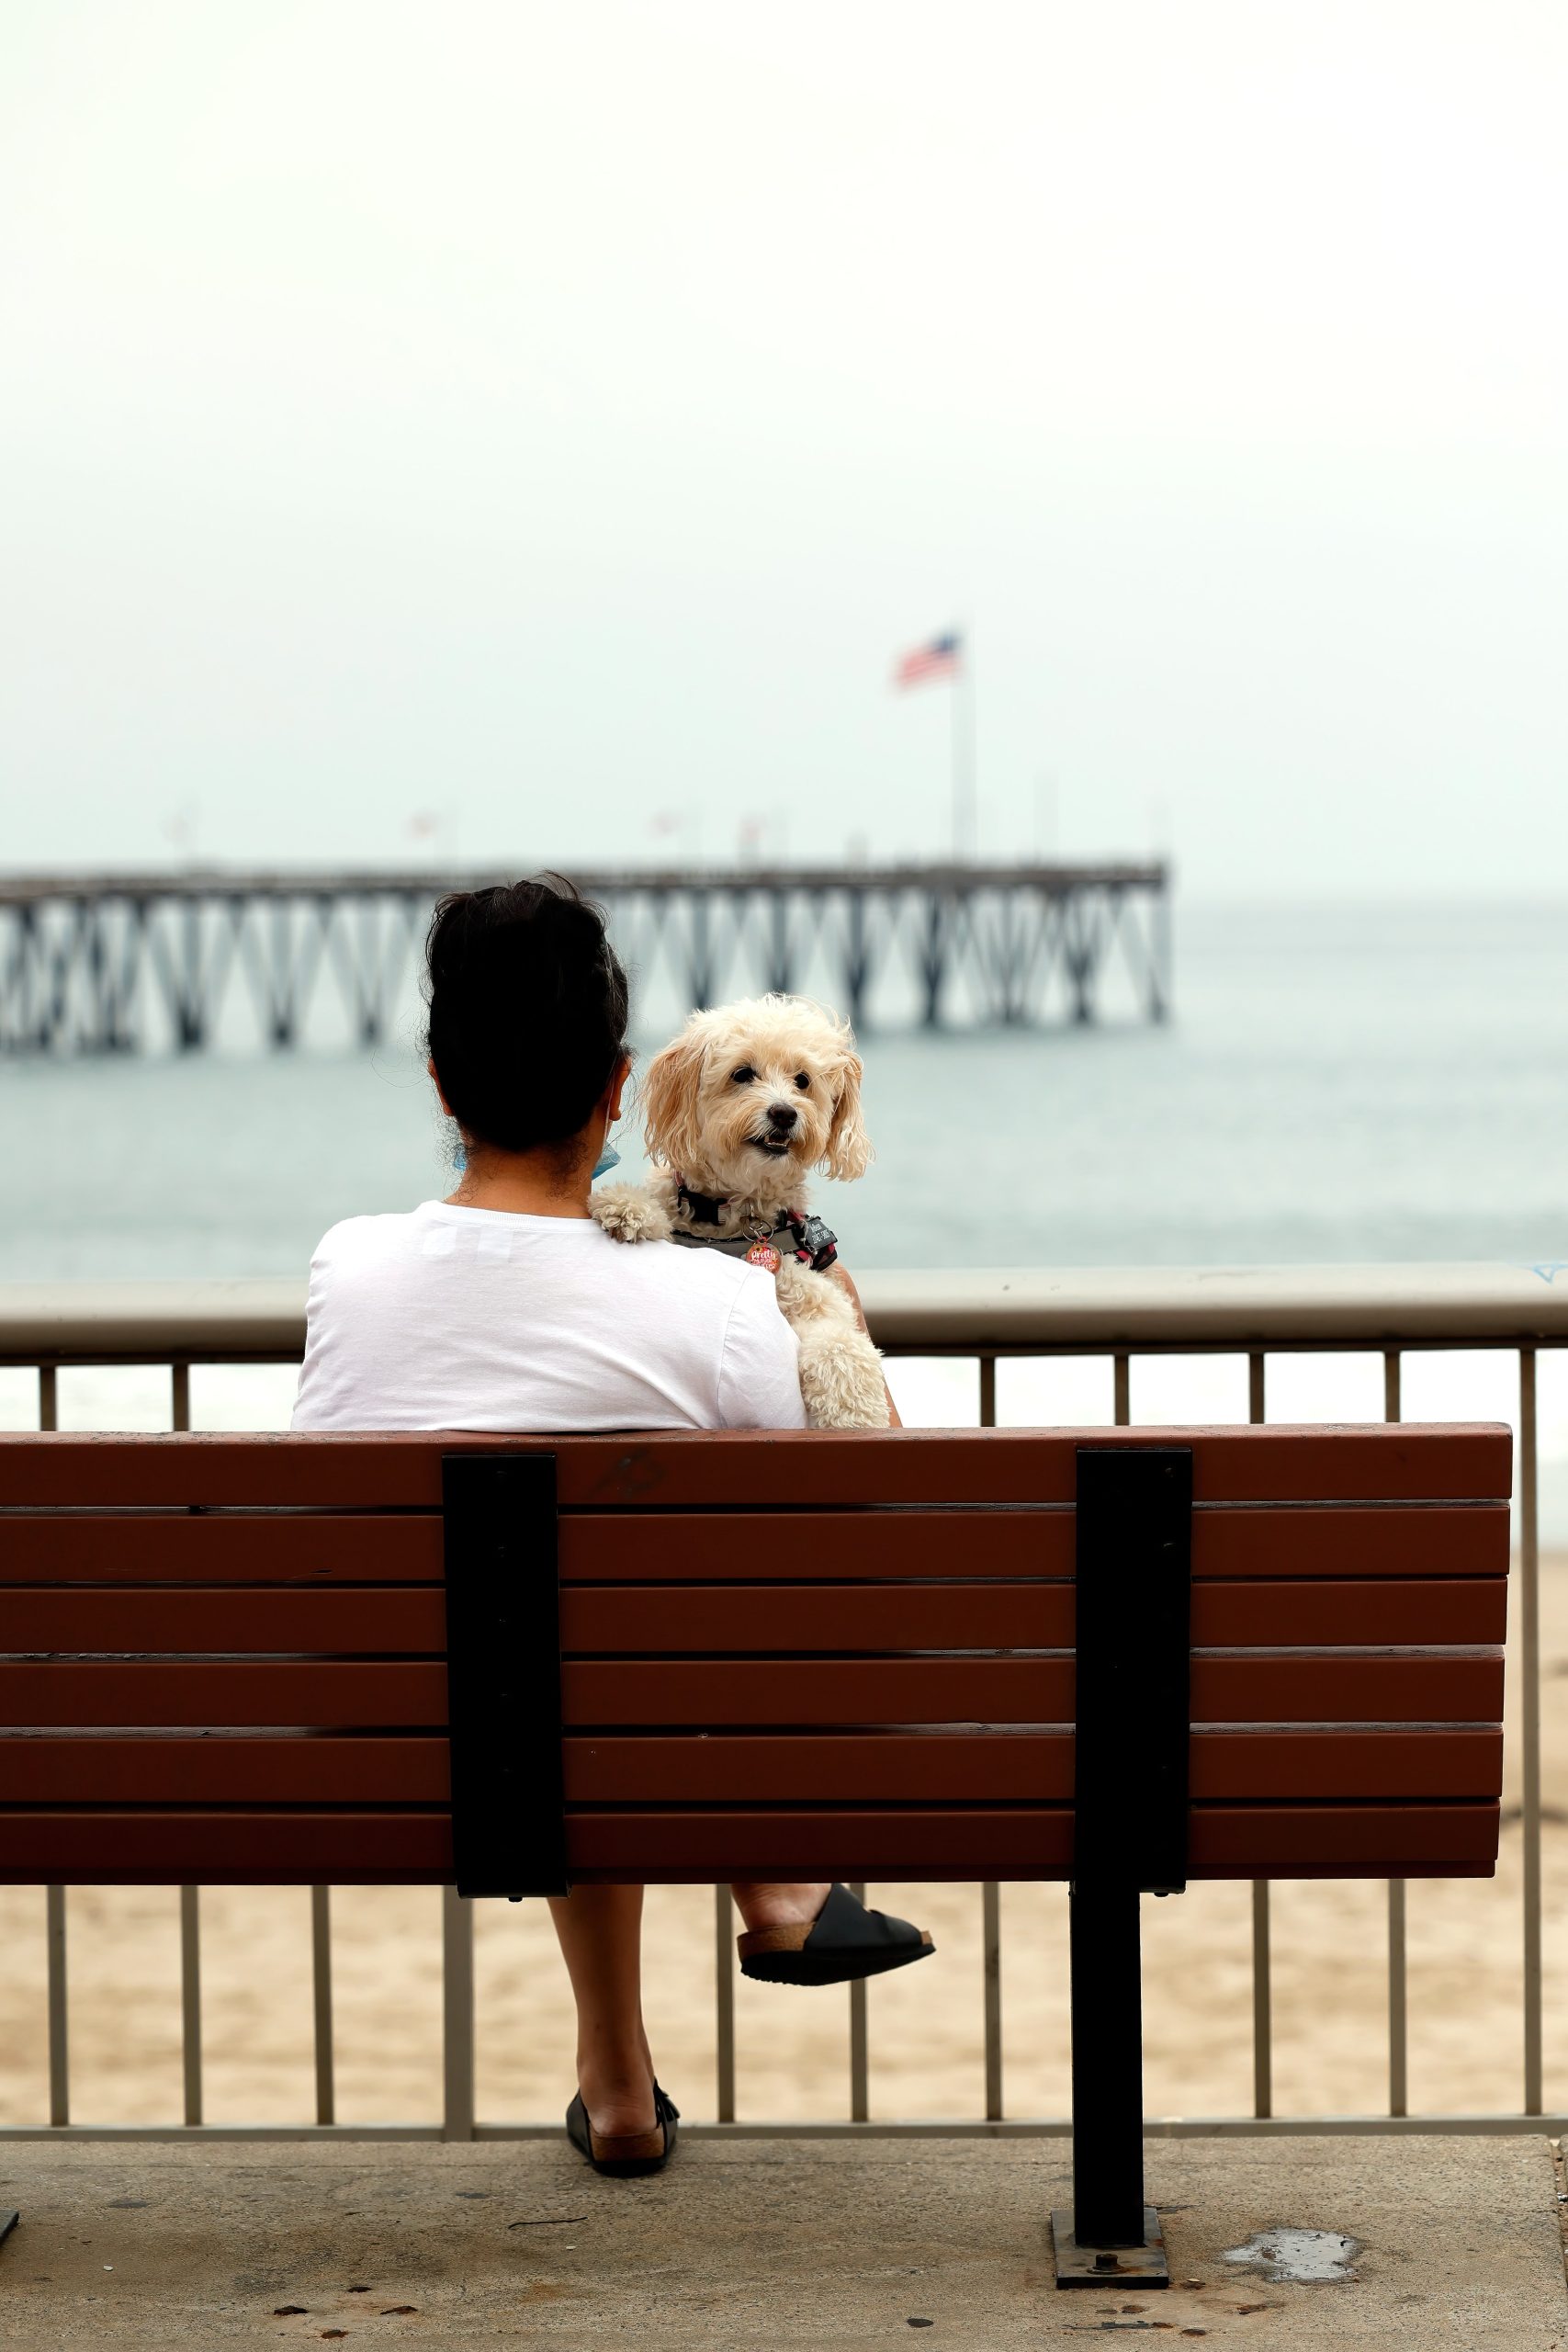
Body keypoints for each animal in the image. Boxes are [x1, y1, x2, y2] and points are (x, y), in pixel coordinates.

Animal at [592, 988, 888, 1420]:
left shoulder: (816, 1295)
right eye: (742, 1073)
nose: (784, 1112)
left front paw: (854, 1415)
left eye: (803, 1080)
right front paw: (626, 1207)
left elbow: (841, 1343)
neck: (738, 1217)